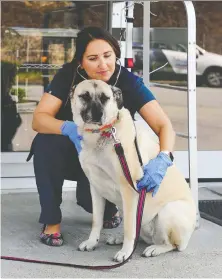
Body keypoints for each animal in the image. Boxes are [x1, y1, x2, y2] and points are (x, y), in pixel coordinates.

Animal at [70, 80, 196, 264]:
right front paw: (92, 242)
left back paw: (155, 248)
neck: (102, 134)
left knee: (170, 244)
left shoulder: (129, 191)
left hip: (167, 212)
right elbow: (96, 221)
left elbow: (129, 228)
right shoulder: (95, 188)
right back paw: (120, 239)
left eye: (105, 98)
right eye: (84, 96)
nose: (98, 114)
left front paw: (126, 252)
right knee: (140, 234)